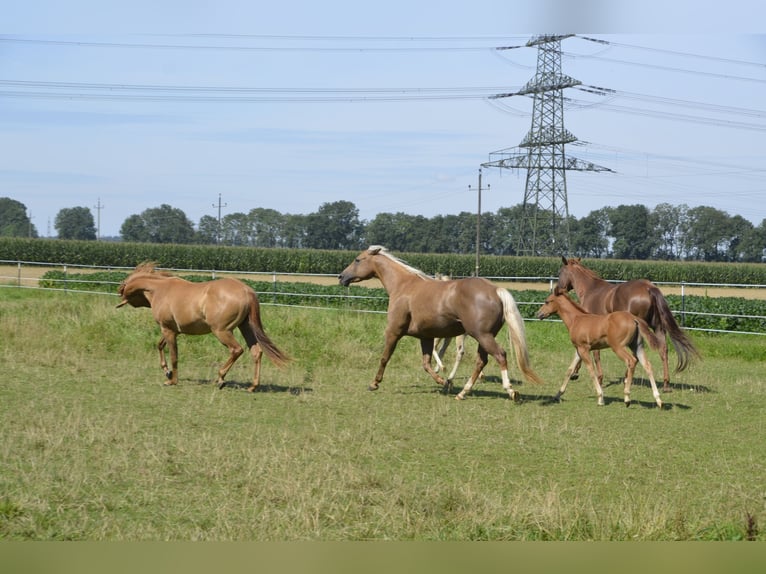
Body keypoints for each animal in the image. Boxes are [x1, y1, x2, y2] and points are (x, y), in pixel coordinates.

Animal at [118, 264, 290, 392]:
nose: (120, 295)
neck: (160, 289)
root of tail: (247, 291)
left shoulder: (167, 330)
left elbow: (174, 355)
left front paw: (172, 380)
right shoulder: (173, 330)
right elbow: (160, 346)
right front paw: (167, 372)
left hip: (222, 331)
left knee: (236, 350)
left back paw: (220, 378)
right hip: (245, 327)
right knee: (256, 351)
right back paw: (253, 386)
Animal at [340, 246, 544, 400]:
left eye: (358, 259)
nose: (341, 277)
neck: (404, 286)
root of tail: (496, 290)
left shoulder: (393, 331)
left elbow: (385, 358)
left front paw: (374, 383)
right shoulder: (426, 337)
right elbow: (426, 363)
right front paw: (444, 381)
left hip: (482, 336)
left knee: (500, 355)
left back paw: (510, 391)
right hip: (483, 337)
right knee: (481, 361)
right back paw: (462, 393)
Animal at [560, 258, 704, 394]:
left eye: (561, 271)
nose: (558, 288)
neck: (591, 290)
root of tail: (648, 288)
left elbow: (594, 355)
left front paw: (593, 378)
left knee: (635, 356)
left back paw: (627, 378)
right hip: (657, 328)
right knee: (663, 350)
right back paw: (666, 384)